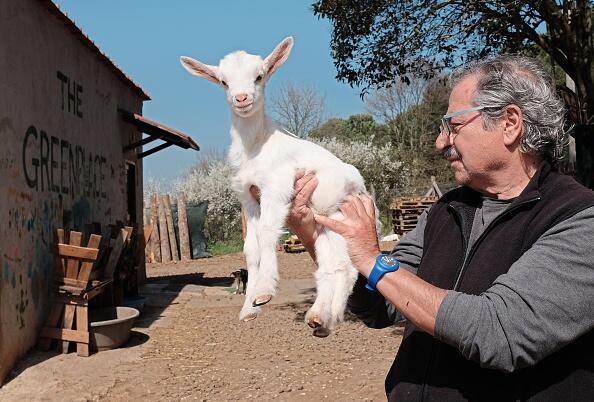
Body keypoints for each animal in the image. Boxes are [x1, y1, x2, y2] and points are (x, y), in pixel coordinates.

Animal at [179, 37, 380, 336]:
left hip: (345, 218)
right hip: (325, 224)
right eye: (224, 81)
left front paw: (263, 290)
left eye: (259, 76)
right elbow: (250, 246)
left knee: (348, 266)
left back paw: (328, 316)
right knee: (333, 266)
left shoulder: (277, 186)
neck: (256, 145)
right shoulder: (248, 197)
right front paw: (249, 308)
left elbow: (266, 233)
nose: (242, 99)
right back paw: (321, 318)